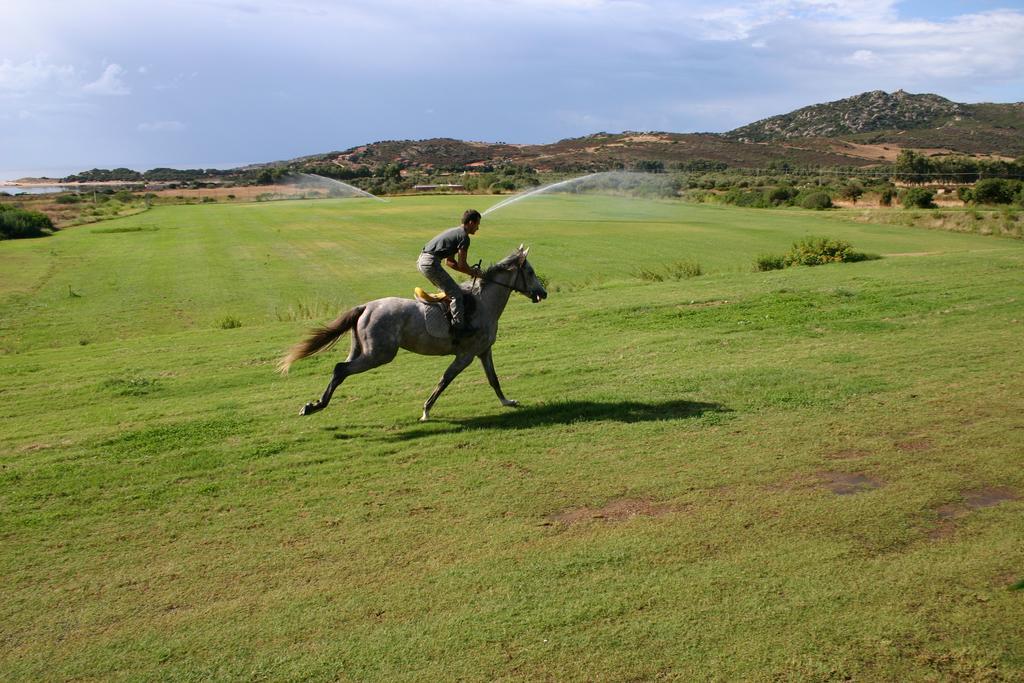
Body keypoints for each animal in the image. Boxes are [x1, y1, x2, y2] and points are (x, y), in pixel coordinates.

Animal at [276, 245, 548, 421]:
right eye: (530, 272)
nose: (543, 293)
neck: (483, 304)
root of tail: (366, 307)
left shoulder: (483, 351)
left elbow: (493, 379)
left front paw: (507, 402)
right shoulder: (466, 355)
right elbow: (444, 381)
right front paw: (426, 411)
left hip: (362, 350)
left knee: (339, 370)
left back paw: (314, 405)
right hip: (380, 354)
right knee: (340, 369)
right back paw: (316, 406)